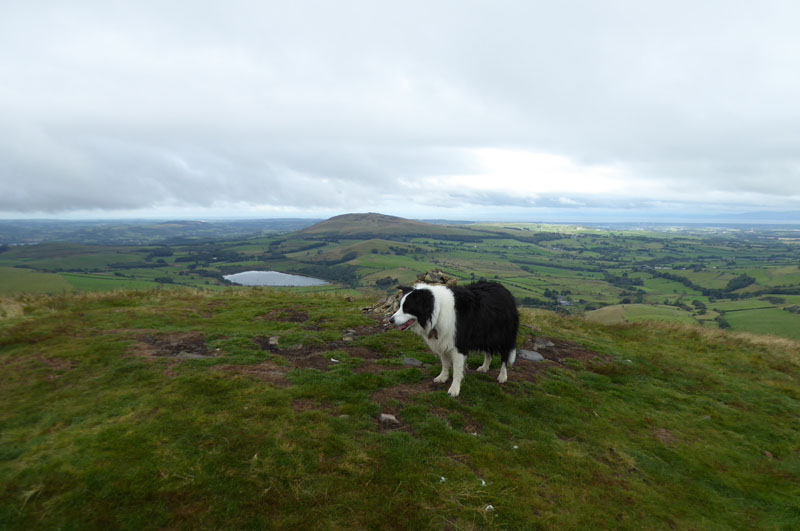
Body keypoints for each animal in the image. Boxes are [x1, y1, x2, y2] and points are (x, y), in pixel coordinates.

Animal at [390, 280, 520, 396]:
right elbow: (445, 364)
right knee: (488, 353)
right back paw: (484, 367)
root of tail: (504, 290)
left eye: (407, 308)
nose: (391, 320)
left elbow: (457, 371)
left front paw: (454, 389)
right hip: (485, 335)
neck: (437, 311)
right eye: (399, 306)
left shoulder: (459, 346)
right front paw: (443, 377)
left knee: (505, 356)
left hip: (503, 337)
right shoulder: (442, 342)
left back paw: (502, 376)